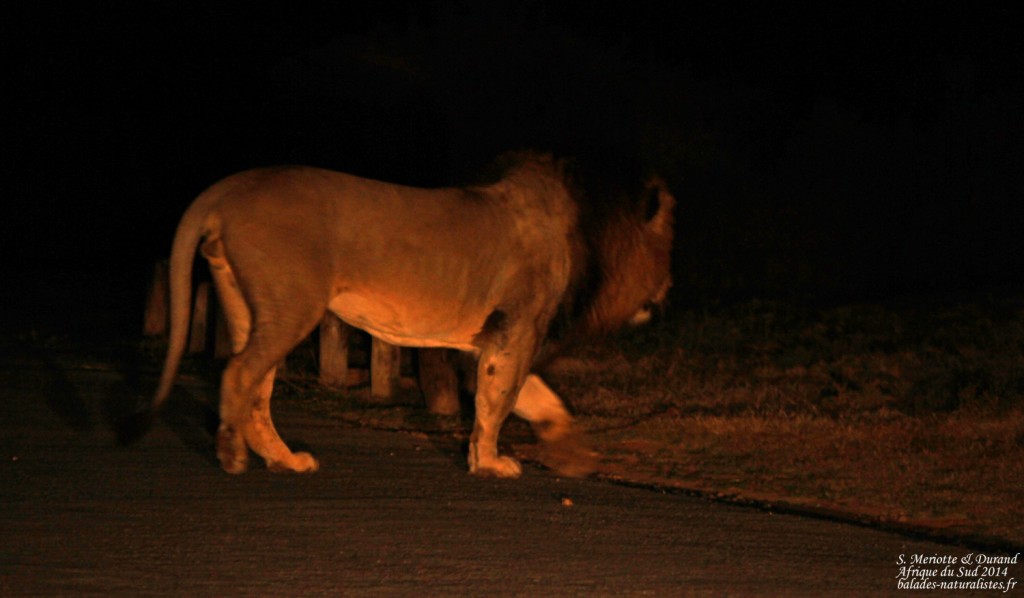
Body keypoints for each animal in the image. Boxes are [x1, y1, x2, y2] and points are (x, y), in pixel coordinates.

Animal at [149, 151, 674, 478]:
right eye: (669, 245)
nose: (669, 287)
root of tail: (227, 189)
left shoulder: (486, 338)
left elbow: (533, 396)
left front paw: (573, 454)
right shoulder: (519, 325)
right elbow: (500, 400)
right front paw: (489, 465)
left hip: (248, 305)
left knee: (257, 390)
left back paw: (285, 461)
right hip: (293, 304)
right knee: (239, 375)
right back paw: (233, 455)